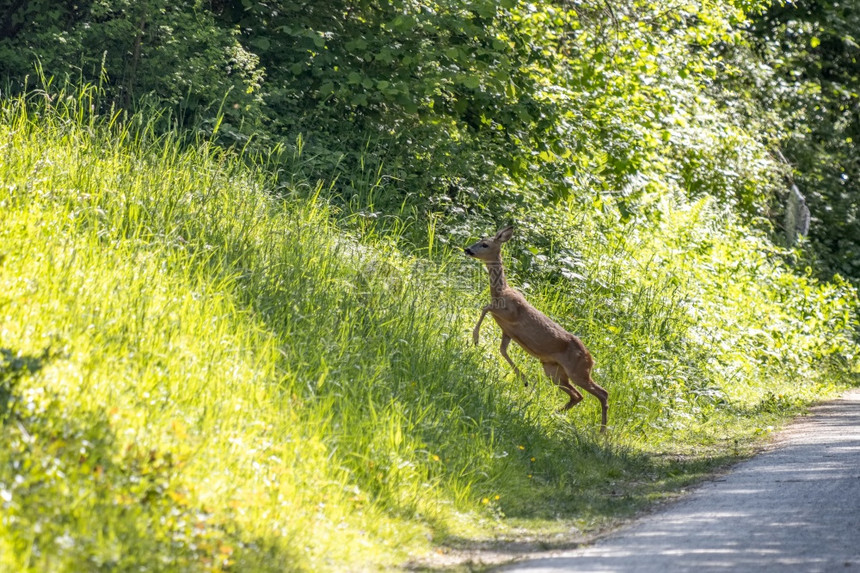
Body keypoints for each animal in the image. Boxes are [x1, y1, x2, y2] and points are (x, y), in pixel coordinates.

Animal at [464, 223, 612, 428]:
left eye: (485, 244)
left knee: (602, 393)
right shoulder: (507, 331)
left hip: (578, 371)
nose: (467, 249)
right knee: (578, 395)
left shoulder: (510, 313)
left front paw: (475, 338)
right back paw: (555, 414)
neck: (500, 292)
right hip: (553, 370)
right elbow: (502, 350)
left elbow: (485, 307)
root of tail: (591, 359)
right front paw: (524, 379)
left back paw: (601, 430)